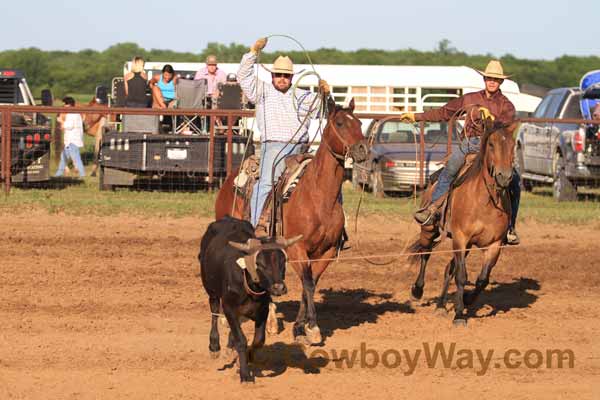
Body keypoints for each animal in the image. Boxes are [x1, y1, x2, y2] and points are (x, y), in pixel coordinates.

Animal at [216, 97, 366, 344]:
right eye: (340, 123)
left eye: (360, 123)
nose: (364, 149)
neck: (318, 196)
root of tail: (230, 180)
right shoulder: (297, 249)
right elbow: (307, 283)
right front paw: (312, 328)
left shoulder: (326, 251)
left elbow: (310, 285)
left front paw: (300, 327)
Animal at [408, 118, 520, 324]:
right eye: (491, 144)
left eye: (512, 145)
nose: (505, 176)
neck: (485, 200)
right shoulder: (460, 238)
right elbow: (461, 276)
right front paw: (459, 314)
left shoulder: (495, 244)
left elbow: (482, 279)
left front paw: (467, 299)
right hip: (430, 229)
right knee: (425, 253)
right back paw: (417, 290)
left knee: (448, 269)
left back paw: (441, 305)